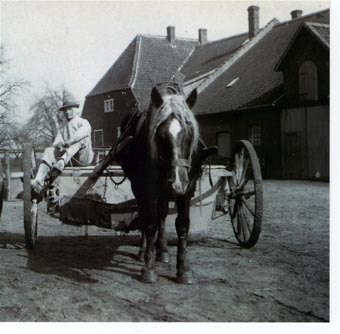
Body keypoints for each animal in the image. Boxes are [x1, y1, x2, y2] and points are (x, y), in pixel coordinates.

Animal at [115, 81, 214, 282]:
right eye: (160, 135)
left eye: (190, 132)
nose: (177, 182)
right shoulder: (143, 188)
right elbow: (149, 223)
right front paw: (149, 267)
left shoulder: (188, 187)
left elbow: (182, 224)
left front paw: (183, 268)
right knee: (146, 216)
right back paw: (144, 250)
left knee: (161, 213)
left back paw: (162, 251)